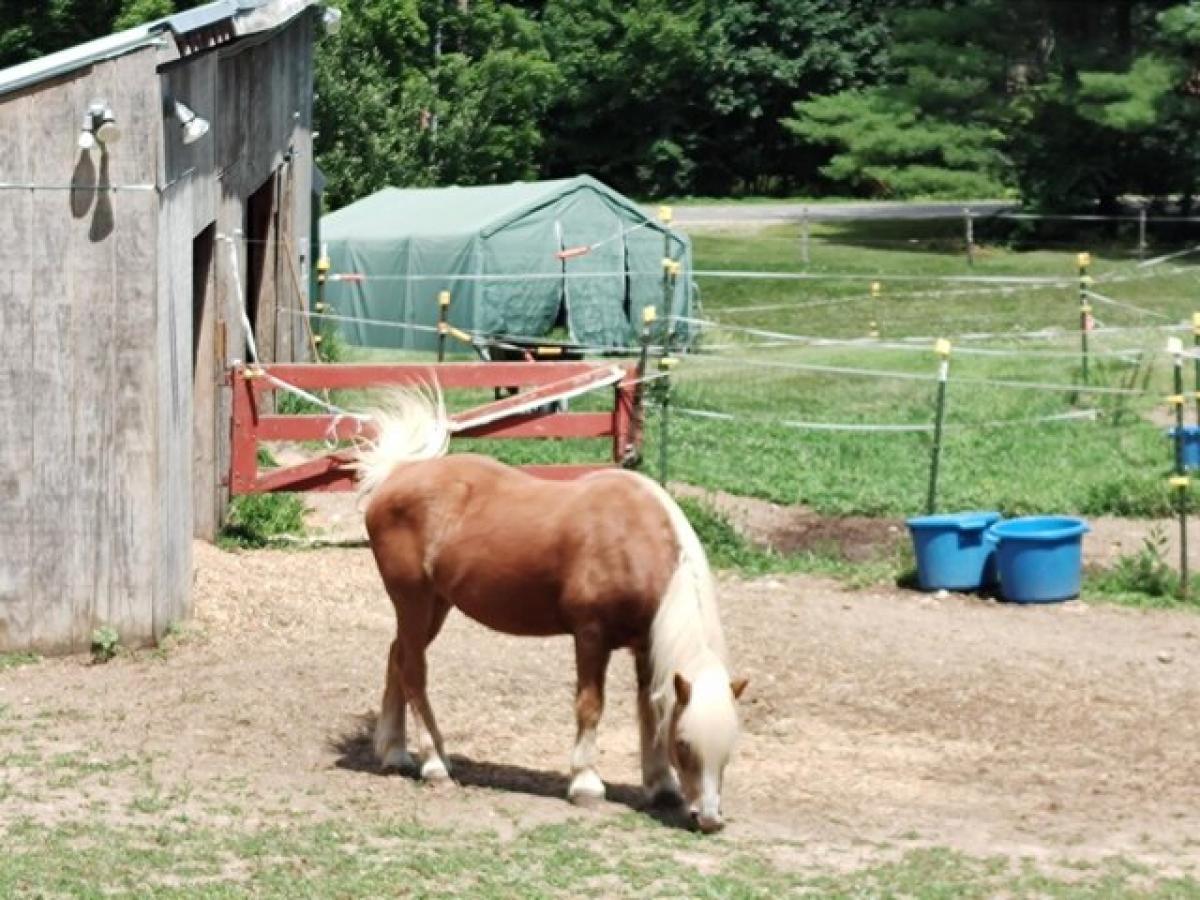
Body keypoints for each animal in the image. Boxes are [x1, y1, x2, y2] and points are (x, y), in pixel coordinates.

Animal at [355, 388, 744, 830]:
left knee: (397, 657)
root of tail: (397, 474)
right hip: (414, 601)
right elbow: (591, 705)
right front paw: (586, 784)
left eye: (729, 749)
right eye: (685, 744)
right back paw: (434, 763)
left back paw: (395, 753)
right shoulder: (591, 636)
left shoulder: (645, 645)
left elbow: (648, 708)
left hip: (436, 605)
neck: (631, 539)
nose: (708, 818)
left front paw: (661, 786)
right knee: (414, 672)